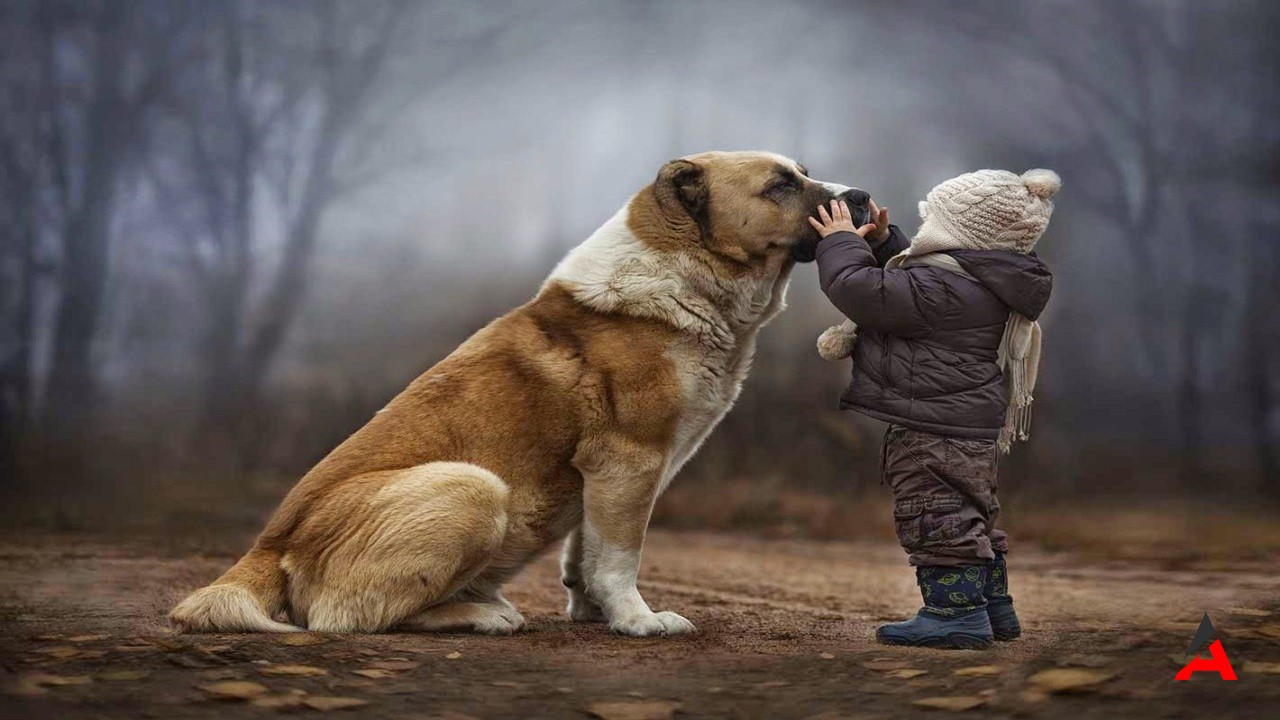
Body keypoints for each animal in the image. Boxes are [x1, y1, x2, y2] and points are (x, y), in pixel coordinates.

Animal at [172, 149, 870, 632]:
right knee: (348, 617)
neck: (684, 278)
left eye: (803, 172)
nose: (861, 196)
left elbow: (586, 553)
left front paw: (595, 614)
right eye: (780, 184)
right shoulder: (630, 460)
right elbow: (621, 555)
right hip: (473, 486)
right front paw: (638, 621)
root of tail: (268, 545)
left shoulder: (610, 475)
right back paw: (482, 615)